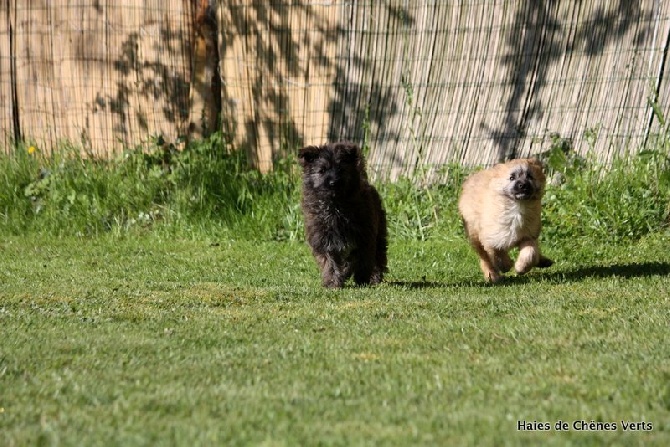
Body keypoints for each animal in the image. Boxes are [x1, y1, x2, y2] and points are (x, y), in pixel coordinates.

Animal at [300, 142, 388, 288]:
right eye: (322, 170)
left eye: (341, 169)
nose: (333, 183)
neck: (335, 205)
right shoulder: (324, 238)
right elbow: (330, 262)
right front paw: (332, 281)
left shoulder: (364, 236)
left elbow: (360, 260)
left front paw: (361, 278)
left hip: (379, 234)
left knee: (378, 256)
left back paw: (374, 277)